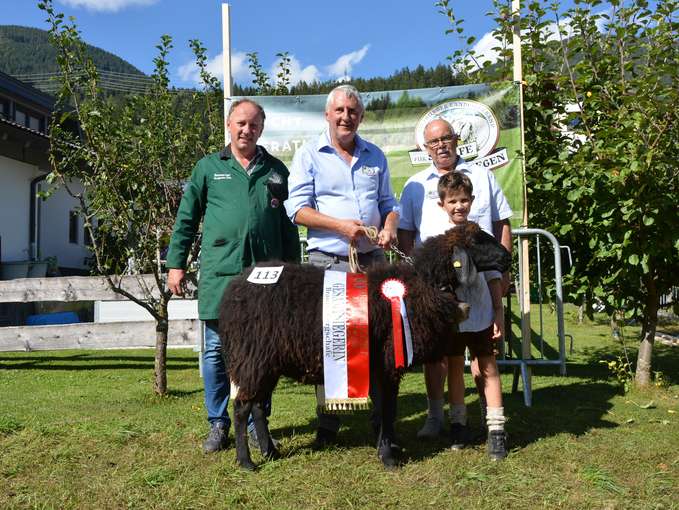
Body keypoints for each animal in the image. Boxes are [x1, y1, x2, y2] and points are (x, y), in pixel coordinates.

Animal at [220, 223, 512, 470]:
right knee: (242, 407)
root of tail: (234, 289)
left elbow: (386, 409)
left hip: (267, 361)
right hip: (253, 356)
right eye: (477, 241)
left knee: (257, 407)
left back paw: (270, 452)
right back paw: (246, 461)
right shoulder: (388, 361)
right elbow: (386, 409)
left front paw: (388, 447)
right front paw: (388, 457)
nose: (507, 257)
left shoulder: (383, 365)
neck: (420, 283)